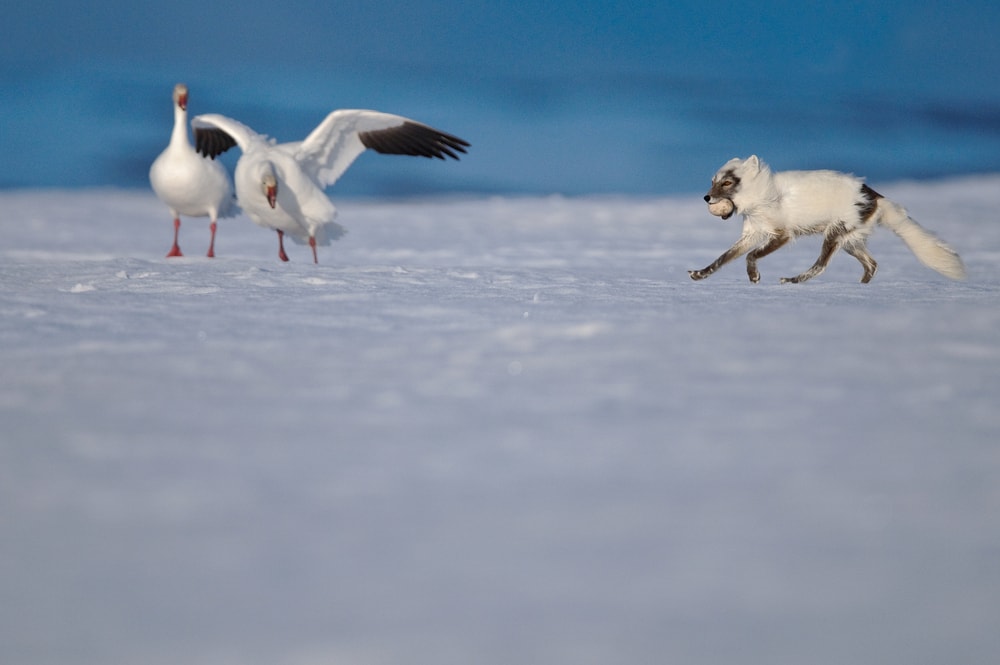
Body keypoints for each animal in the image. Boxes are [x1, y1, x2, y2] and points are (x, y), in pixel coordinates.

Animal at [690, 155, 966, 284]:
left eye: (727, 183)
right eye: (713, 181)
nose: (706, 197)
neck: (765, 196)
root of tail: (875, 195)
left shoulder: (782, 234)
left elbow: (750, 256)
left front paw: (754, 277)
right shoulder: (752, 234)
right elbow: (722, 258)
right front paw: (700, 275)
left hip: (833, 235)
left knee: (820, 266)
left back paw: (793, 280)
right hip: (849, 242)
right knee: (872, 264)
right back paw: (861, 289)